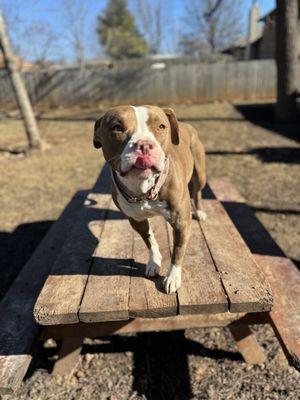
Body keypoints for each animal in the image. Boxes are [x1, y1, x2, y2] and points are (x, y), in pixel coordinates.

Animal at [94, 105, 206, 294]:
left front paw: (172, 277)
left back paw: (200, 210)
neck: (144, 189)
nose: (145, 145)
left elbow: (178, 250)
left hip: (199, 172)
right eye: (117, 127)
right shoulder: (136, 220)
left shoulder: (181, 222)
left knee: (198, 190)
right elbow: (150, 240)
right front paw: (154, 261)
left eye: (161, 126)